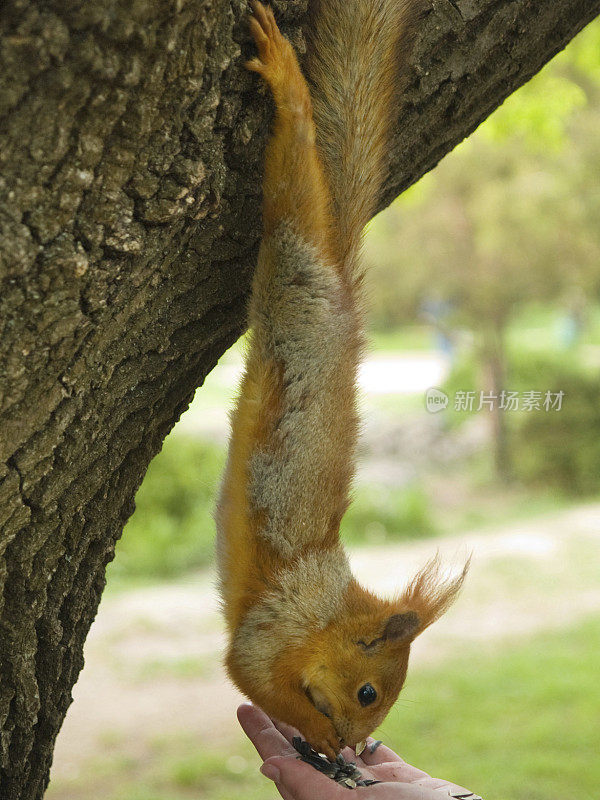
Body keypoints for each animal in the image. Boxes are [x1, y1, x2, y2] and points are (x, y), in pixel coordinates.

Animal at [216, 0, 468, 760]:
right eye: (367, 694)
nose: (359, 745)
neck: (326, 613)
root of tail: (344, 304)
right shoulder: (276, 623)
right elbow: (249, 672)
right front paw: (321, 740)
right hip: (292, 282)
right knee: (295, 201)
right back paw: (288, 90)